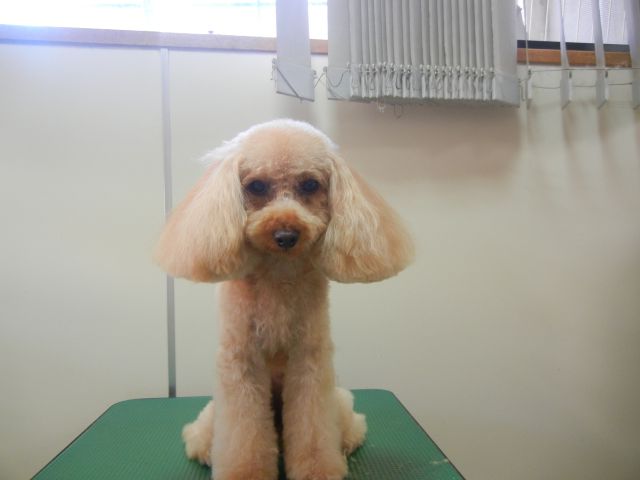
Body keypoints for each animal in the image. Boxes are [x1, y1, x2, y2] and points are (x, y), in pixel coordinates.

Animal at [155, 119, 413, 480]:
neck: (278, 275)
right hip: (213, 414)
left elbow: (312, 427)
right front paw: (244, 472)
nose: (286, 235)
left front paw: (319, 469)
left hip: (337, 402)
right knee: (201, 434)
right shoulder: (242, 362)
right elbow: (244, 434)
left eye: (310, 184)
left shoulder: (309, 360)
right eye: (256, 186)